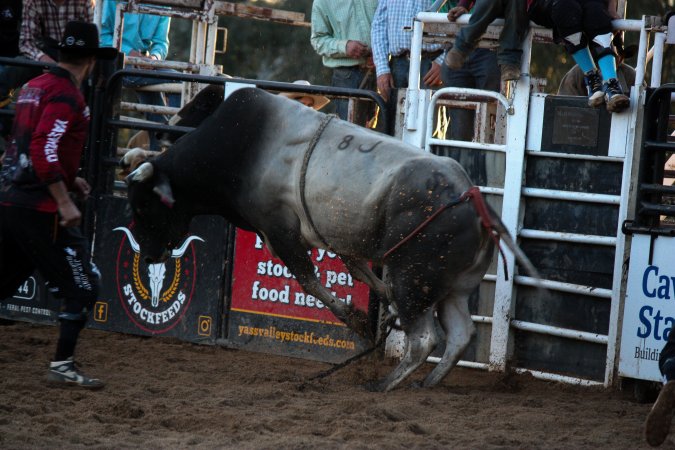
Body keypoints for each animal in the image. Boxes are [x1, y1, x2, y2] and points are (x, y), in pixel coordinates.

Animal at [122, 87, 537, 392]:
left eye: (142, 207)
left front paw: (357, 319)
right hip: (450, 287)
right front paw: (377, 305)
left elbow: (309, 280)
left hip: (413, 276)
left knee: (424, 339)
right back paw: (427, 384)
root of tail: (470, 195)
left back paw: (383, 385)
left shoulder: (279, 229)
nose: (149, 257)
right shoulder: (336, 239)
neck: (238, 148)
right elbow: (355, 268)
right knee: (459, 333)